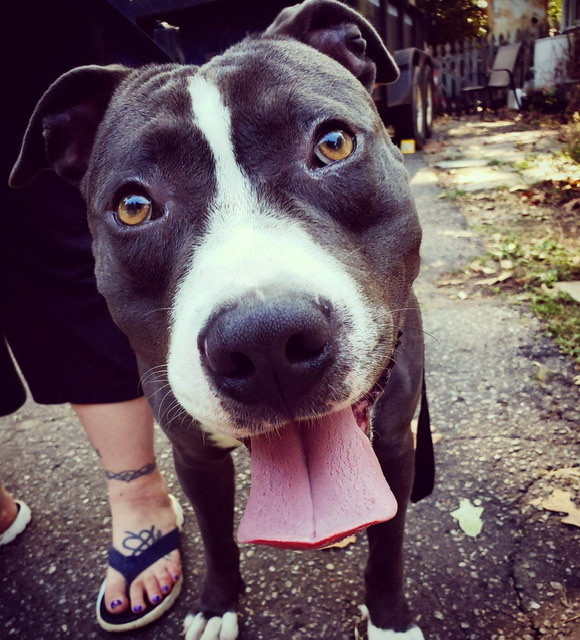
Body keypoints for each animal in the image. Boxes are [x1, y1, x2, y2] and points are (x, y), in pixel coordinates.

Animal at [11, 0, 432, 636]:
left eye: (333, 143)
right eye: (133, 206)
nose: (266, 343)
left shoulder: (394, 441)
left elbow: (388, 543)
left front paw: (388, 618)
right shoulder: (196, 457)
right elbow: (216, 539)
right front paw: (216, 606)